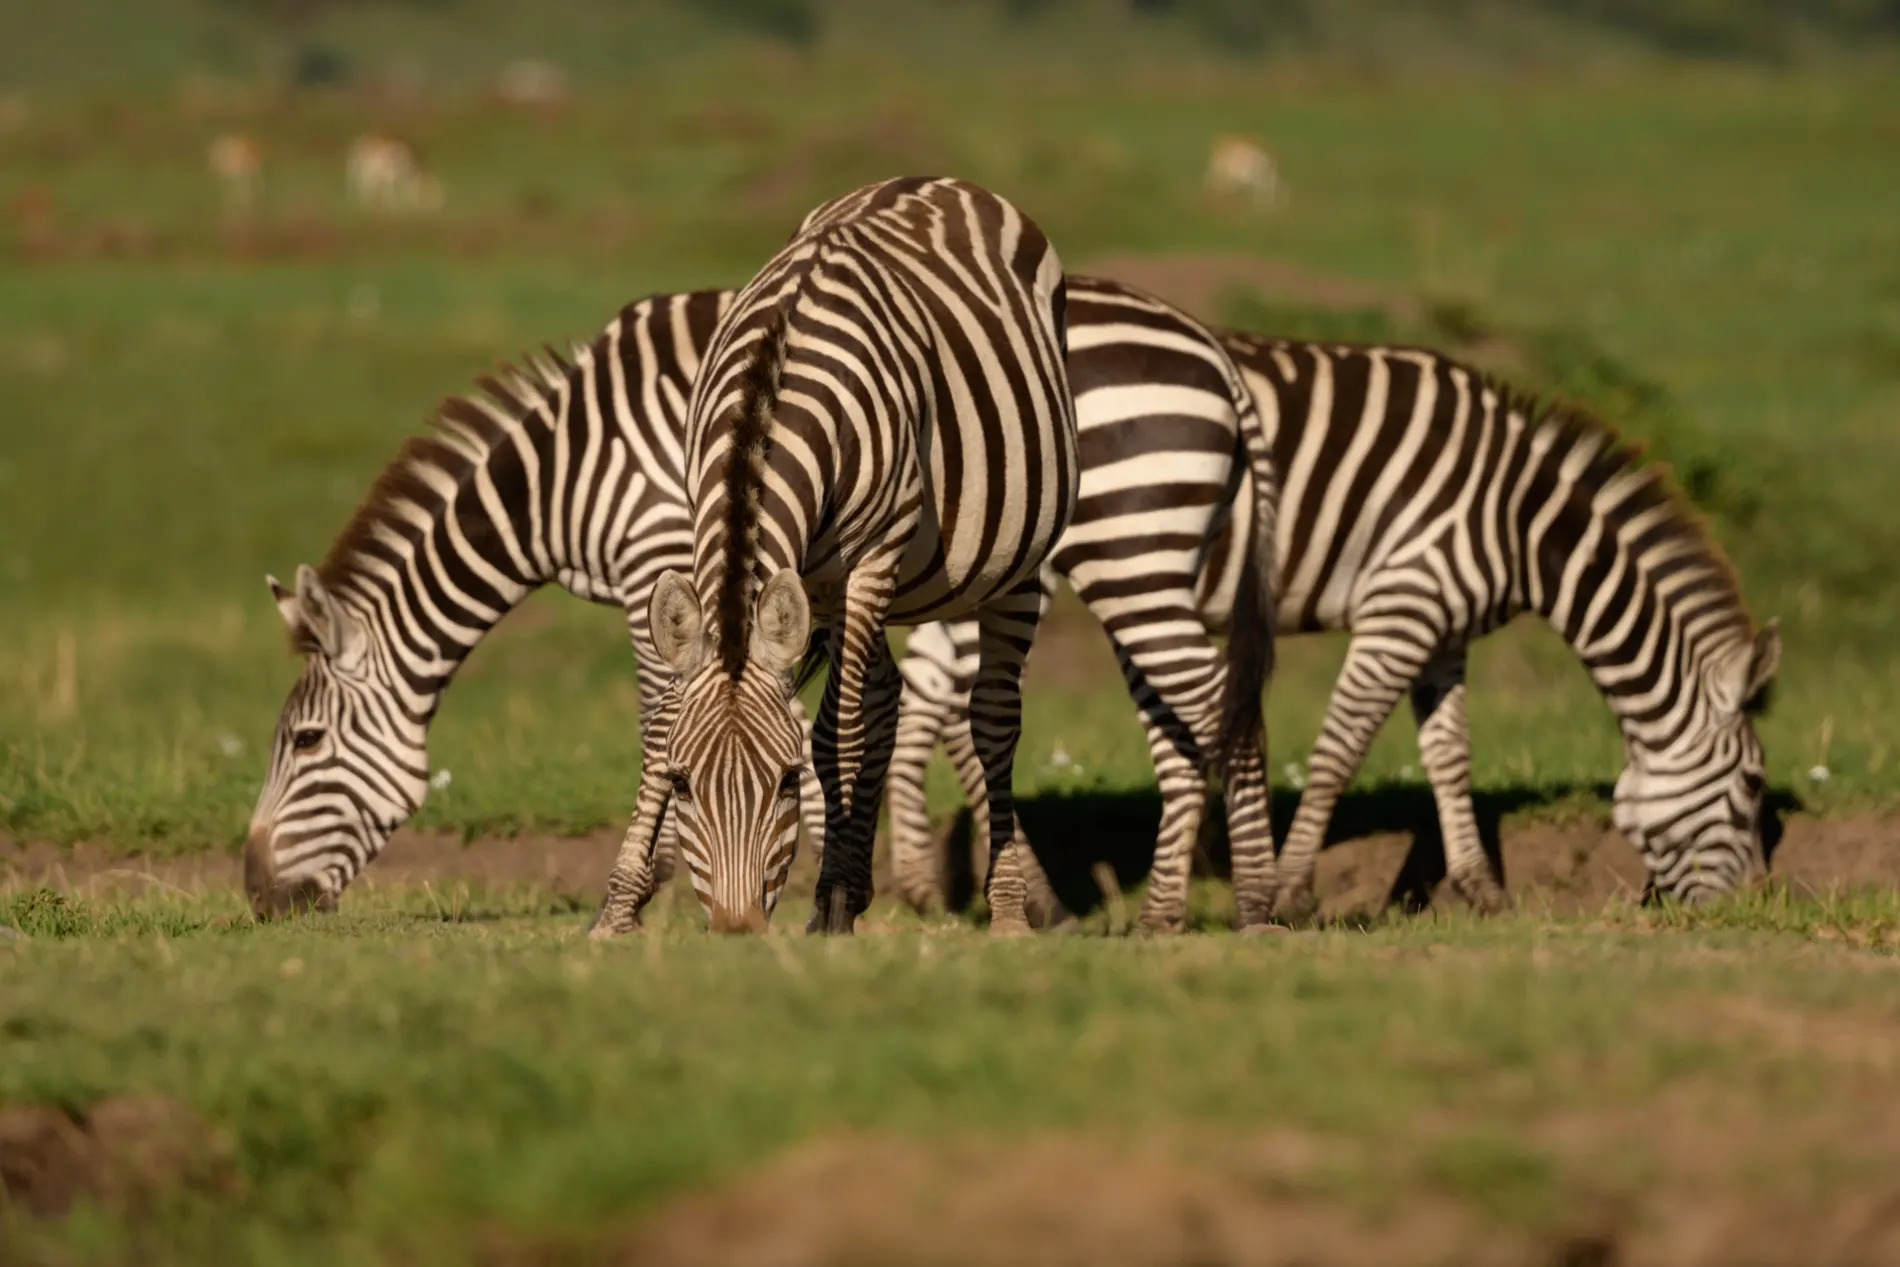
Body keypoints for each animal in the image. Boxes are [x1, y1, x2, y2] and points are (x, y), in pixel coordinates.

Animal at [241, 269, 1276, 923]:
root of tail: (1211, 349)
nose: (251, 895)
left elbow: (667, 725)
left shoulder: (657, 564)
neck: (565, 469)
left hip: (1128, 548)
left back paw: (1255, 899)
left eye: (306, 742)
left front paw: (661, 877)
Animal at [889, 332, 1778, 915]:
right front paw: (1290, 887)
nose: (1754, 909)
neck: (1522, 522)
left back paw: (936, 884)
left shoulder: (1444, 633)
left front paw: (1481, 889)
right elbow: (1341, 745)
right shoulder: (1405, 601)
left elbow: (1448, 755)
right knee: (959, 702)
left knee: (935, 692)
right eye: (1751, 786)